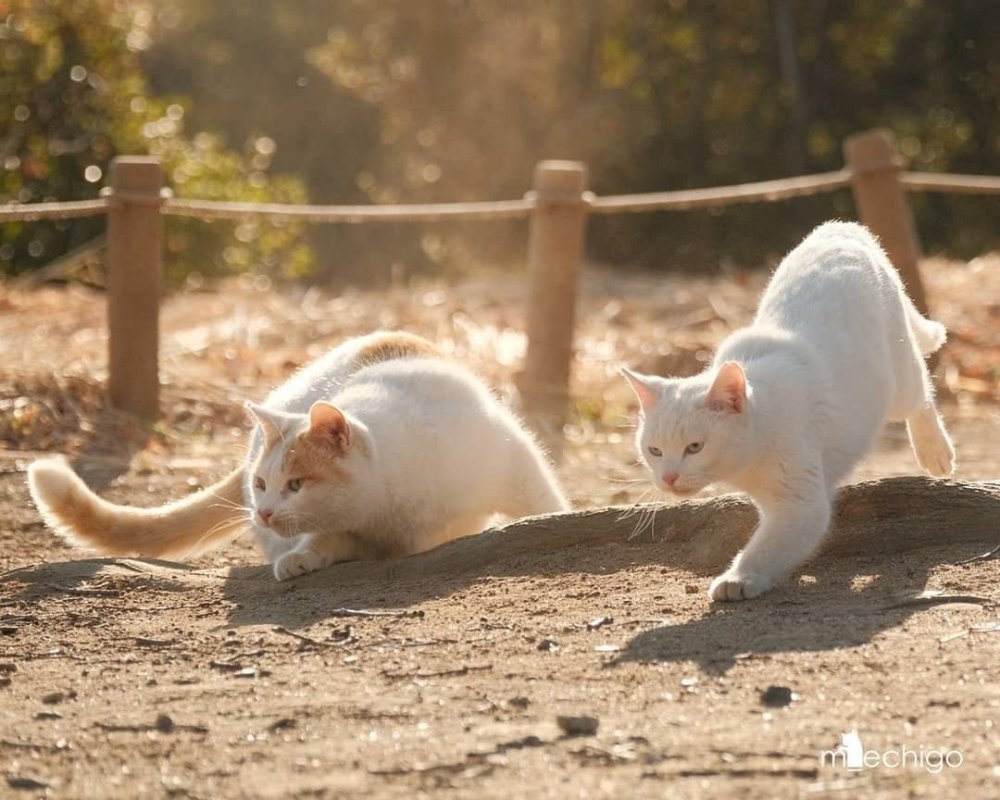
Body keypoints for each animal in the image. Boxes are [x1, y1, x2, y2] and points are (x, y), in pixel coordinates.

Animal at [25, 332, 572, 580]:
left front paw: (561, 520)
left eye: (296, 484)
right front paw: (301, 559)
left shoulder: (511, 455)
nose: (264, 512)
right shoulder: (363, 536)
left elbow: (542, 499)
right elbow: (328, 541)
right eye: (262, 485)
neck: (391, 508)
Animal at [620, 222, 956, 604]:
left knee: (922, 394)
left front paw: (739, 578)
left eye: (695, 447)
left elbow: (767, 548)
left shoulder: (800, 504)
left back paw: (935, 451)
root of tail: (841, 228)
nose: (669, 477)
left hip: (900, 376)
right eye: (654, 450)